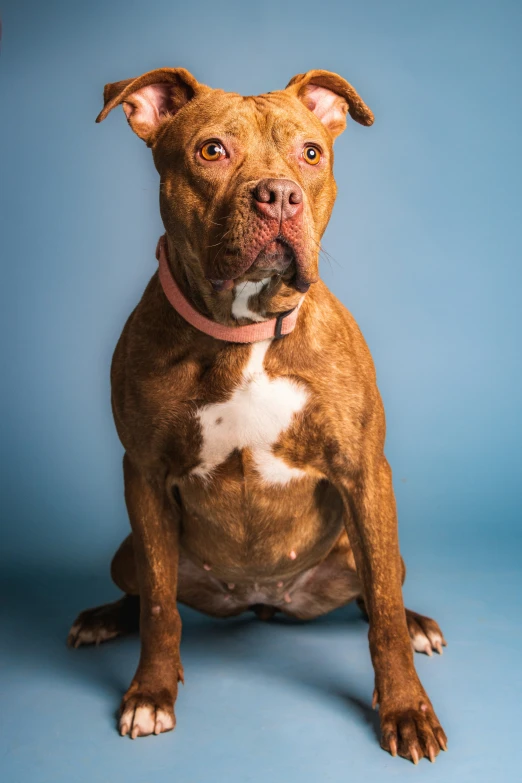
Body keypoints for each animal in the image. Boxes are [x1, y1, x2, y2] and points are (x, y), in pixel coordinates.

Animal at [66, 67, 446, 764]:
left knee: (377, 588)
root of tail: (264, 601)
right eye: (212, 150)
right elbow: (159, 609)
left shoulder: (363, 473)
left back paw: (417, 622)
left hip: (369, 540)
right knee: (142, 590)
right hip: (128, 549)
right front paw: (150, 694)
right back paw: (103, 619)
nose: (279, 196)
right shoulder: (144, 476)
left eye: (311, 153)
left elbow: (381, 608)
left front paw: (406, 709)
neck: (244, 333)